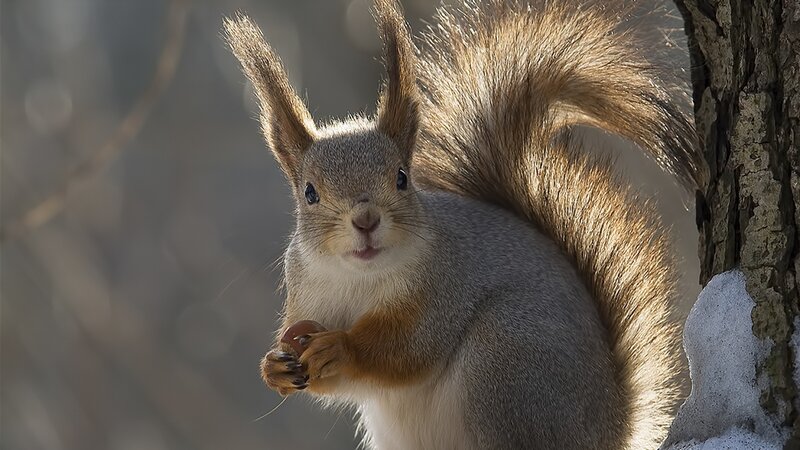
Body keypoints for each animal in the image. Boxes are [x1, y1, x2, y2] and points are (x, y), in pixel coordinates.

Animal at [224, 0, 706, 448]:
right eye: (309, 192)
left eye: (402, 177)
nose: (365, 219)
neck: (359, 279)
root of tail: (612, 430)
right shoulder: (307, 297)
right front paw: (273, 368)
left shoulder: (445, 286)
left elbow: (409, 348)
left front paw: (343, 348)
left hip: (506, 359)